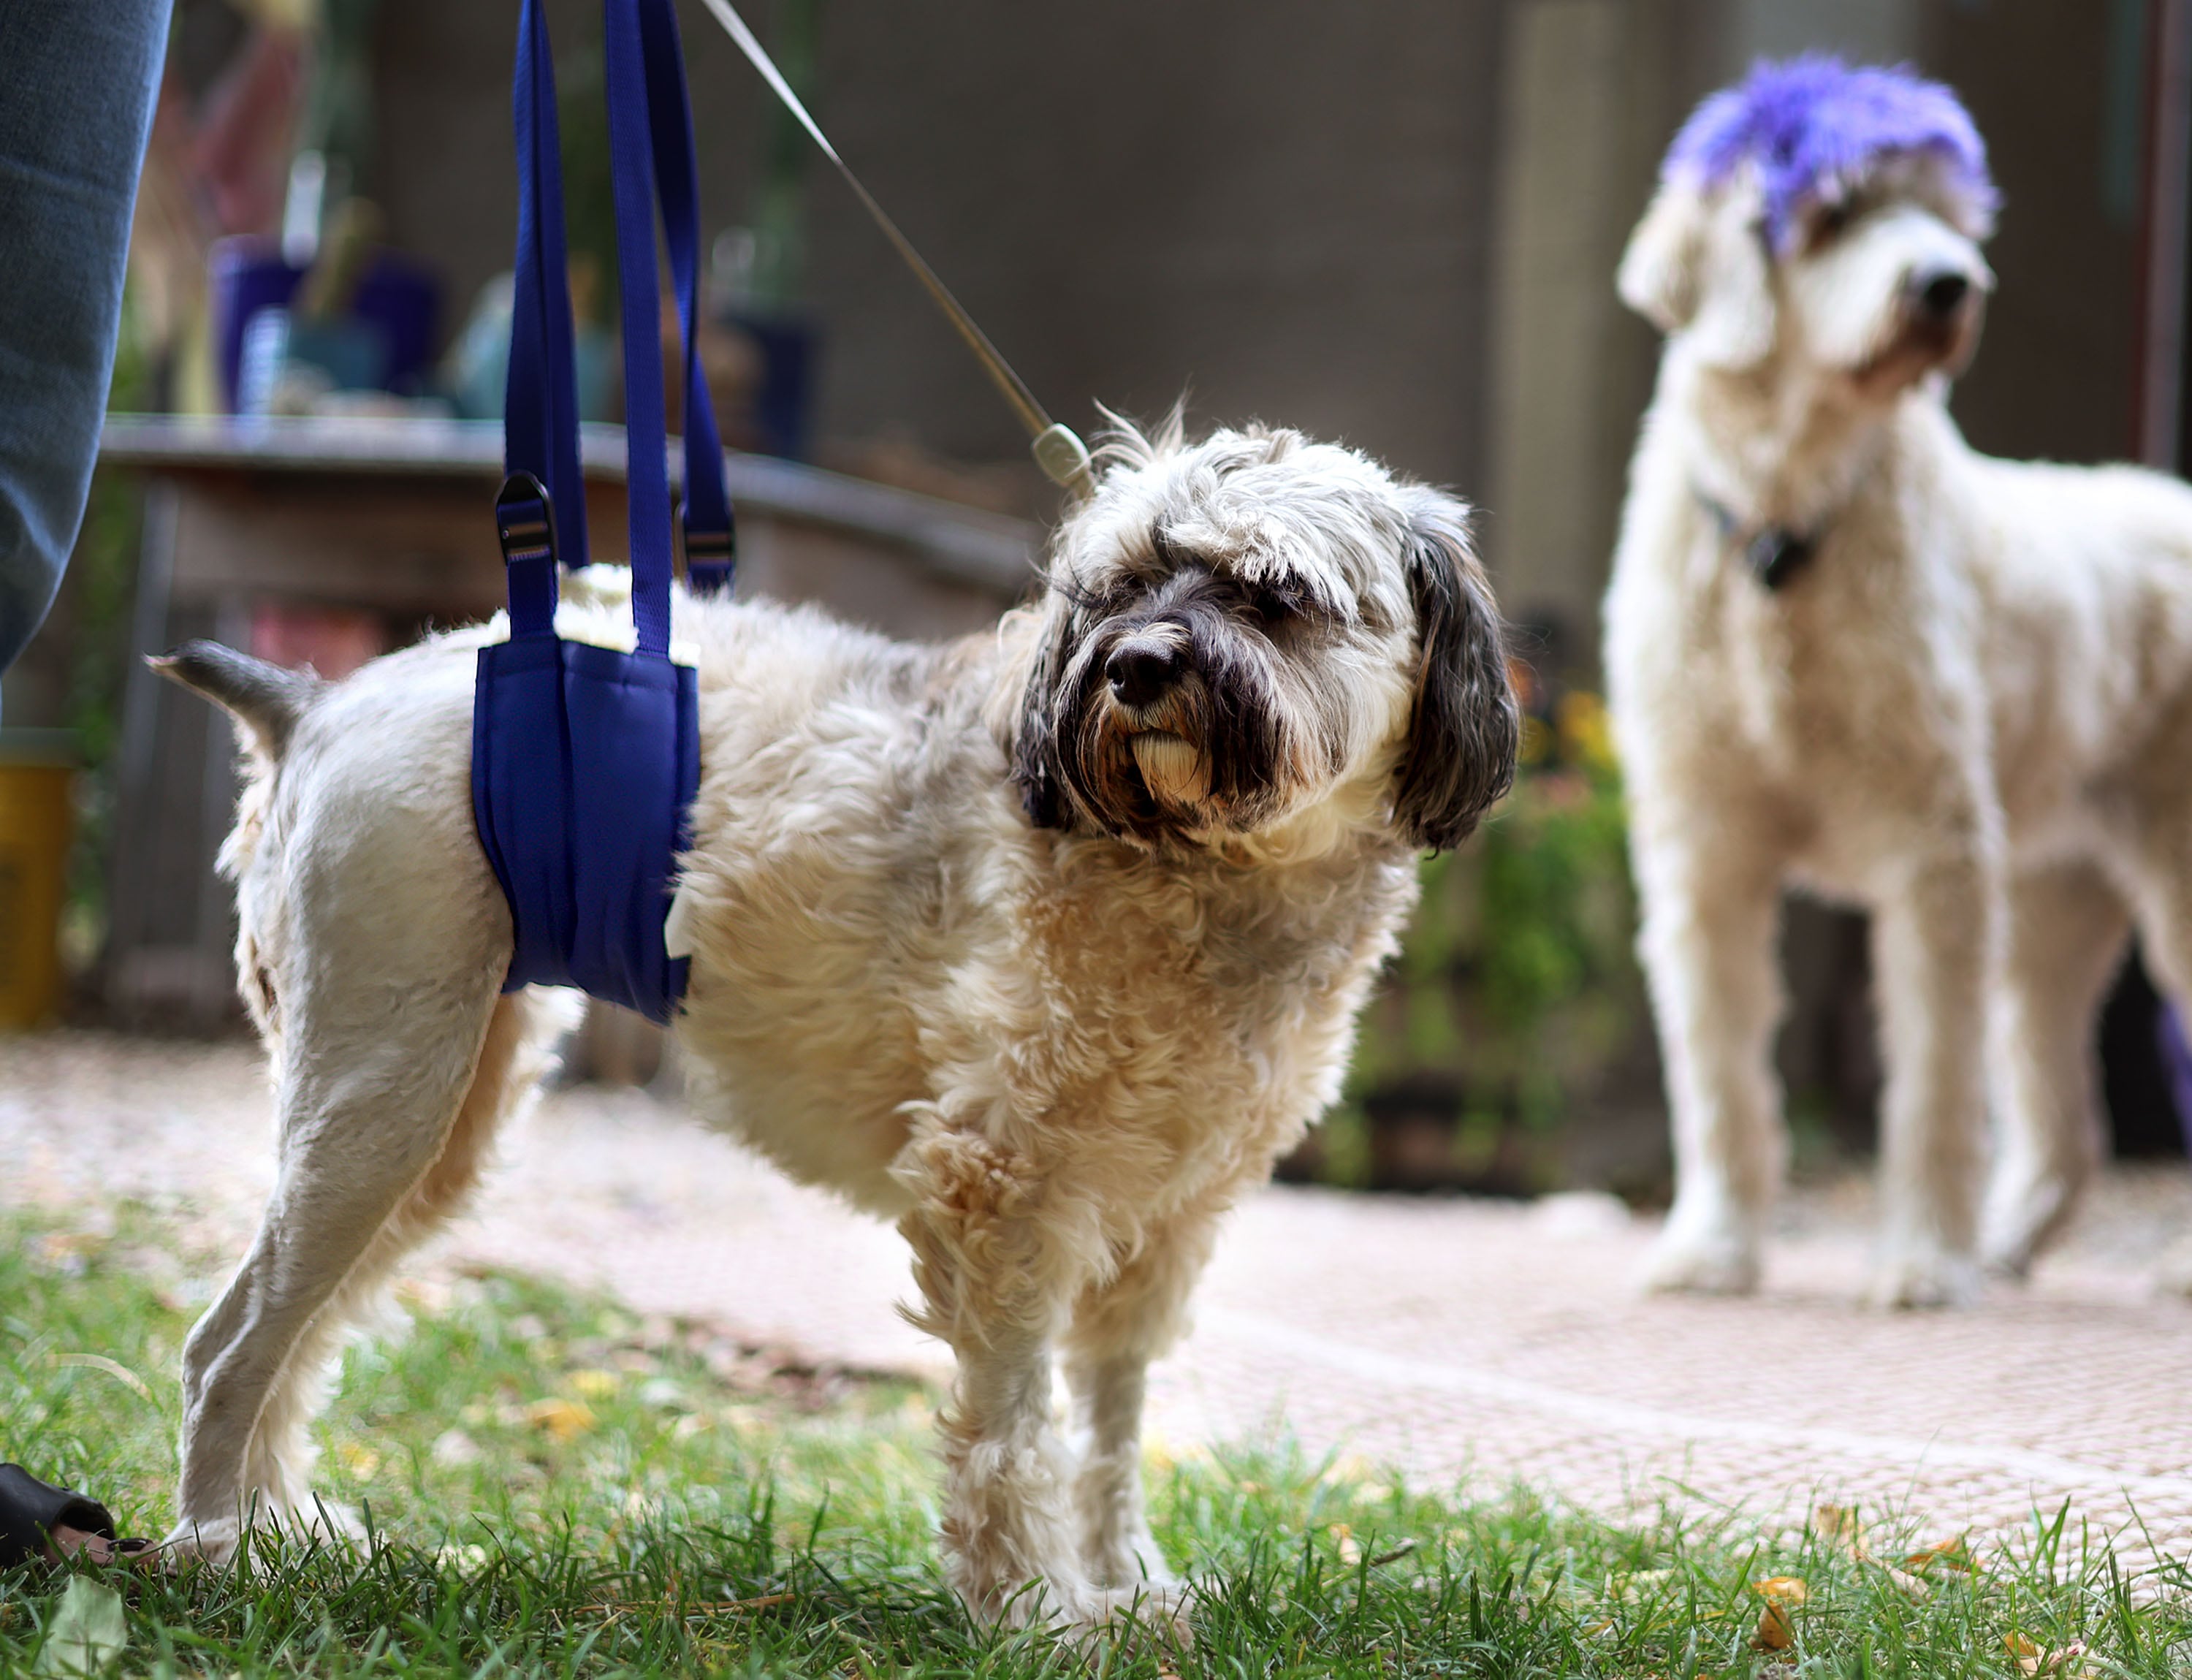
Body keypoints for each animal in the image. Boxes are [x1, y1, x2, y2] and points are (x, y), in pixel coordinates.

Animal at [154, 417, 1517, 1631]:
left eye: (1272, 594)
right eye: (1121, 586)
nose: (1136, 666)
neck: (1207, 869)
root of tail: (322, 702)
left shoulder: (1160, 1230)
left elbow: (1110, 1432)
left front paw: (1124, 1586)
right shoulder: (1005, 1200)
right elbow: (1010, 1429)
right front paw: (1034, 1611)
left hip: (438, 1125)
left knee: (289, 1341)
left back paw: (287, 1537)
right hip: (378, 1101)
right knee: (229, 1348)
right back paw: (221, 1555)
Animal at [1605, 59, 2192, 1307]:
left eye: (1946, 213)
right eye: (1832, 211)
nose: (1947, 284)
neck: (1786, 531)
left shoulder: (1934, 857)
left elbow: (1932, 1081)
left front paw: (1923, 1260)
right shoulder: (1703, 855)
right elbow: (1720, 1078)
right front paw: (1712, 1247)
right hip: (2051, 910)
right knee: (2069, 1124)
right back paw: (2008, 1243)